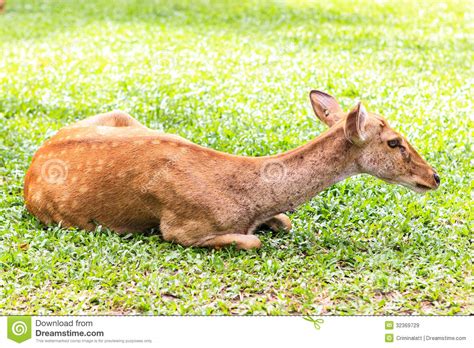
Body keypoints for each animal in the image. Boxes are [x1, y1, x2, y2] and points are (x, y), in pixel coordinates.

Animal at [23, 91, 440, 249]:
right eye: (394, 142)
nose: (434, 177)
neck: (248, 198)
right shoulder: (180, 229)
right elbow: (253, 241)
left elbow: (285, 222)